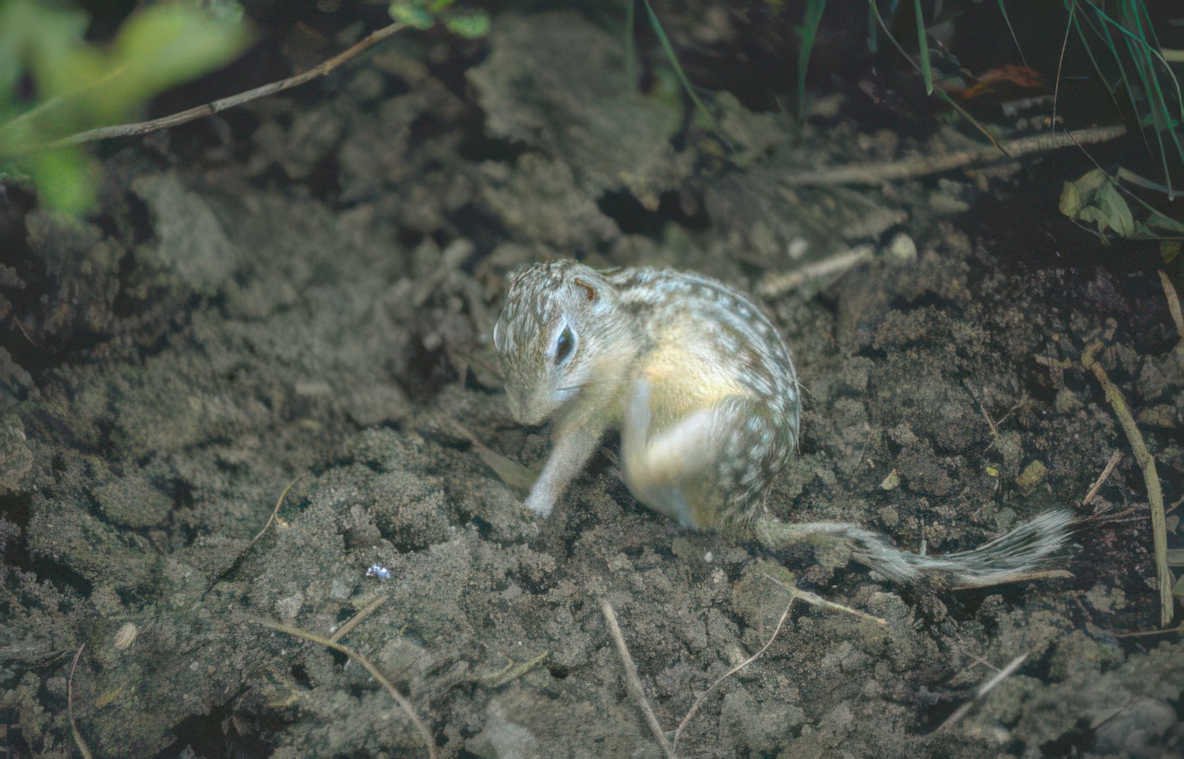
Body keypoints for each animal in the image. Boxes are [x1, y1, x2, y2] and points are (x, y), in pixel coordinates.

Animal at [492, 259, 1074, 587]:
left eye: (564, 344)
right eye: (496, 337)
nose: (522, 415)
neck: (621, 318)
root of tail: (752, 511)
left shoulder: (605, 390)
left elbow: (574, 452)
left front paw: (533, 507)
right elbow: (567, 443)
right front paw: (525, 502)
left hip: (725, 427)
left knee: (648, 470)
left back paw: (641, 420)